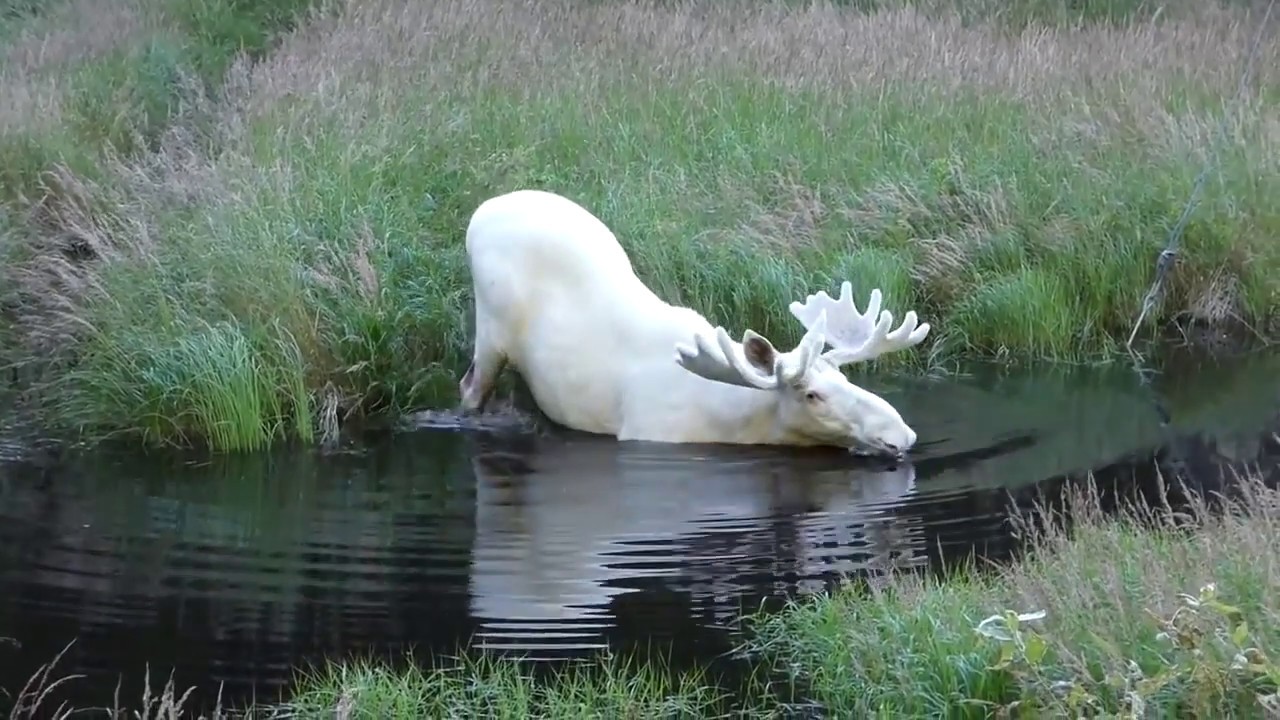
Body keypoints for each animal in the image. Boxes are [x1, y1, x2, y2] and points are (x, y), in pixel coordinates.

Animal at [457, 189, 932, 458]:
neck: (743, 424)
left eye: (845, 379)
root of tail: (480, 212)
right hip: (491, 330)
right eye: (811, 394)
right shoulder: (650, 433)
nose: (901, 433)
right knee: (470, 388)